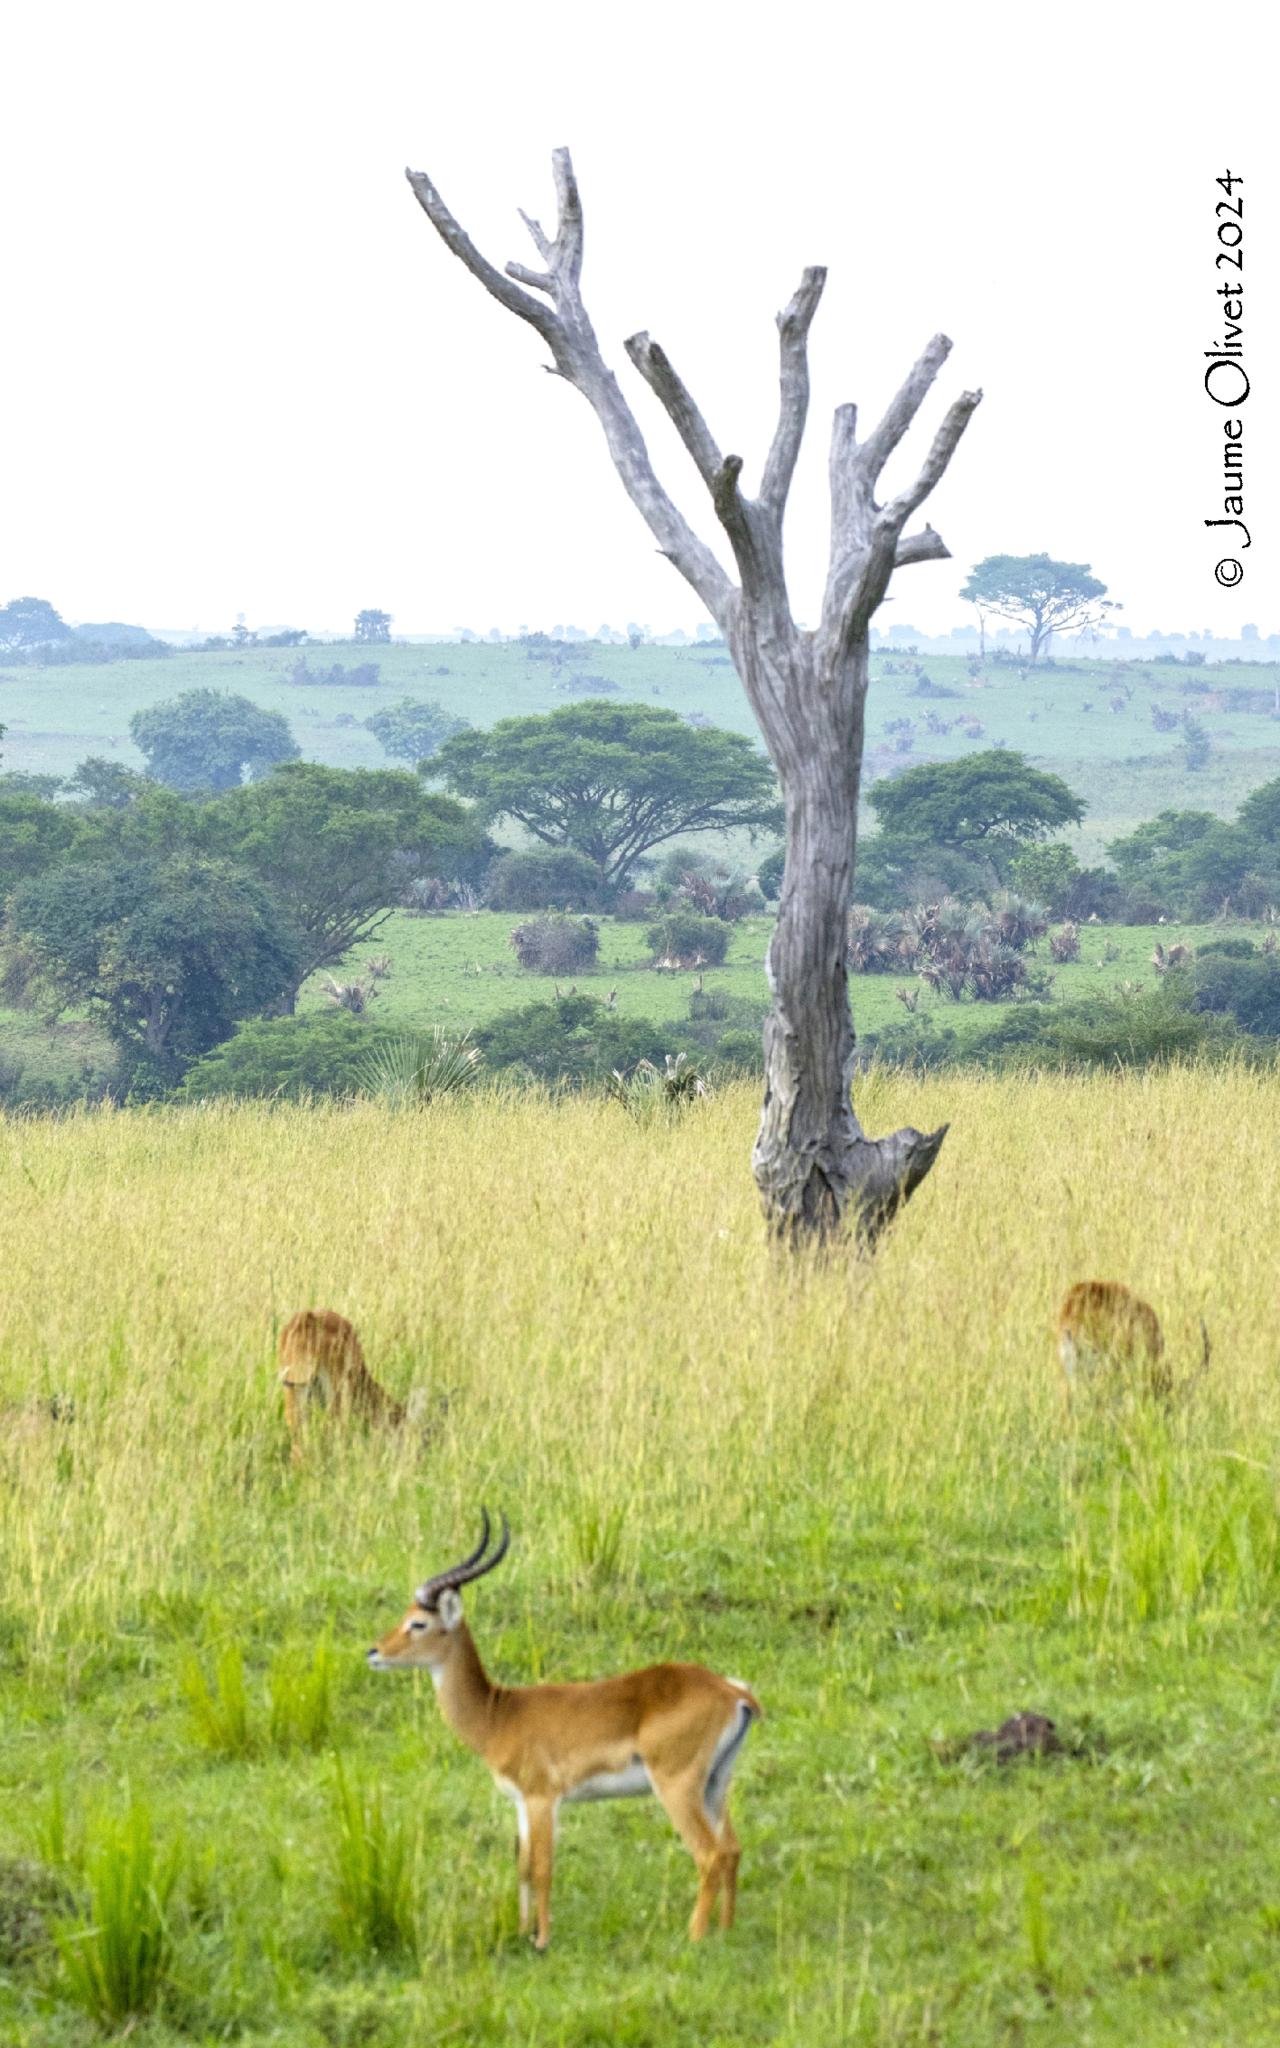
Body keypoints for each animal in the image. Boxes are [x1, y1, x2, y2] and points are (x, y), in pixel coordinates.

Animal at [364, 1515, 757, 1941]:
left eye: (418, 1623)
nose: (374, 1652)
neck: (498, 1714)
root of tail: (733, 1691)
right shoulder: (520, 1802)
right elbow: (521, 1866)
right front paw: (523, 1932)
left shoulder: (543, 1799)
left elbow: (542, 1867)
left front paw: (542, 1939)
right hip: (716, 1783)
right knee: (732, 1849)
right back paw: (726, 1930)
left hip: (676, 1786)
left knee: (710, 1853)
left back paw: (694, 1937)